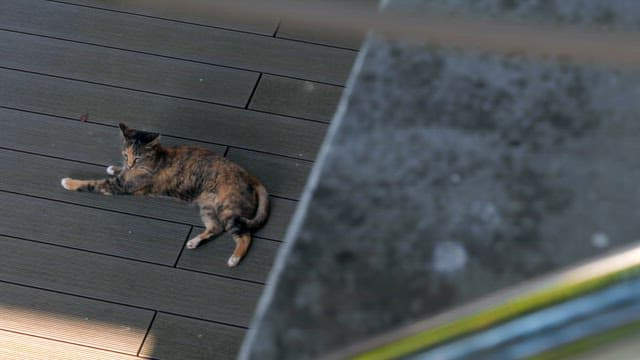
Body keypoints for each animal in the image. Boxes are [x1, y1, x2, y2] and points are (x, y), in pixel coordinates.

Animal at [60, 124, 268, 268]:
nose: (130, 164)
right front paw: (114, 167)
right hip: (207, 207)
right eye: (126, 154)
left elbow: (92, 184)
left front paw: (68, 182)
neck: (155, 159)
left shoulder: (119, 186)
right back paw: (194, 242)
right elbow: (118, 171)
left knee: (245, 235)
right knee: (216, 228)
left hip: (228, 210)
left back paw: (234, 259)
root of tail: (249, 176)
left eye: (138, 157)